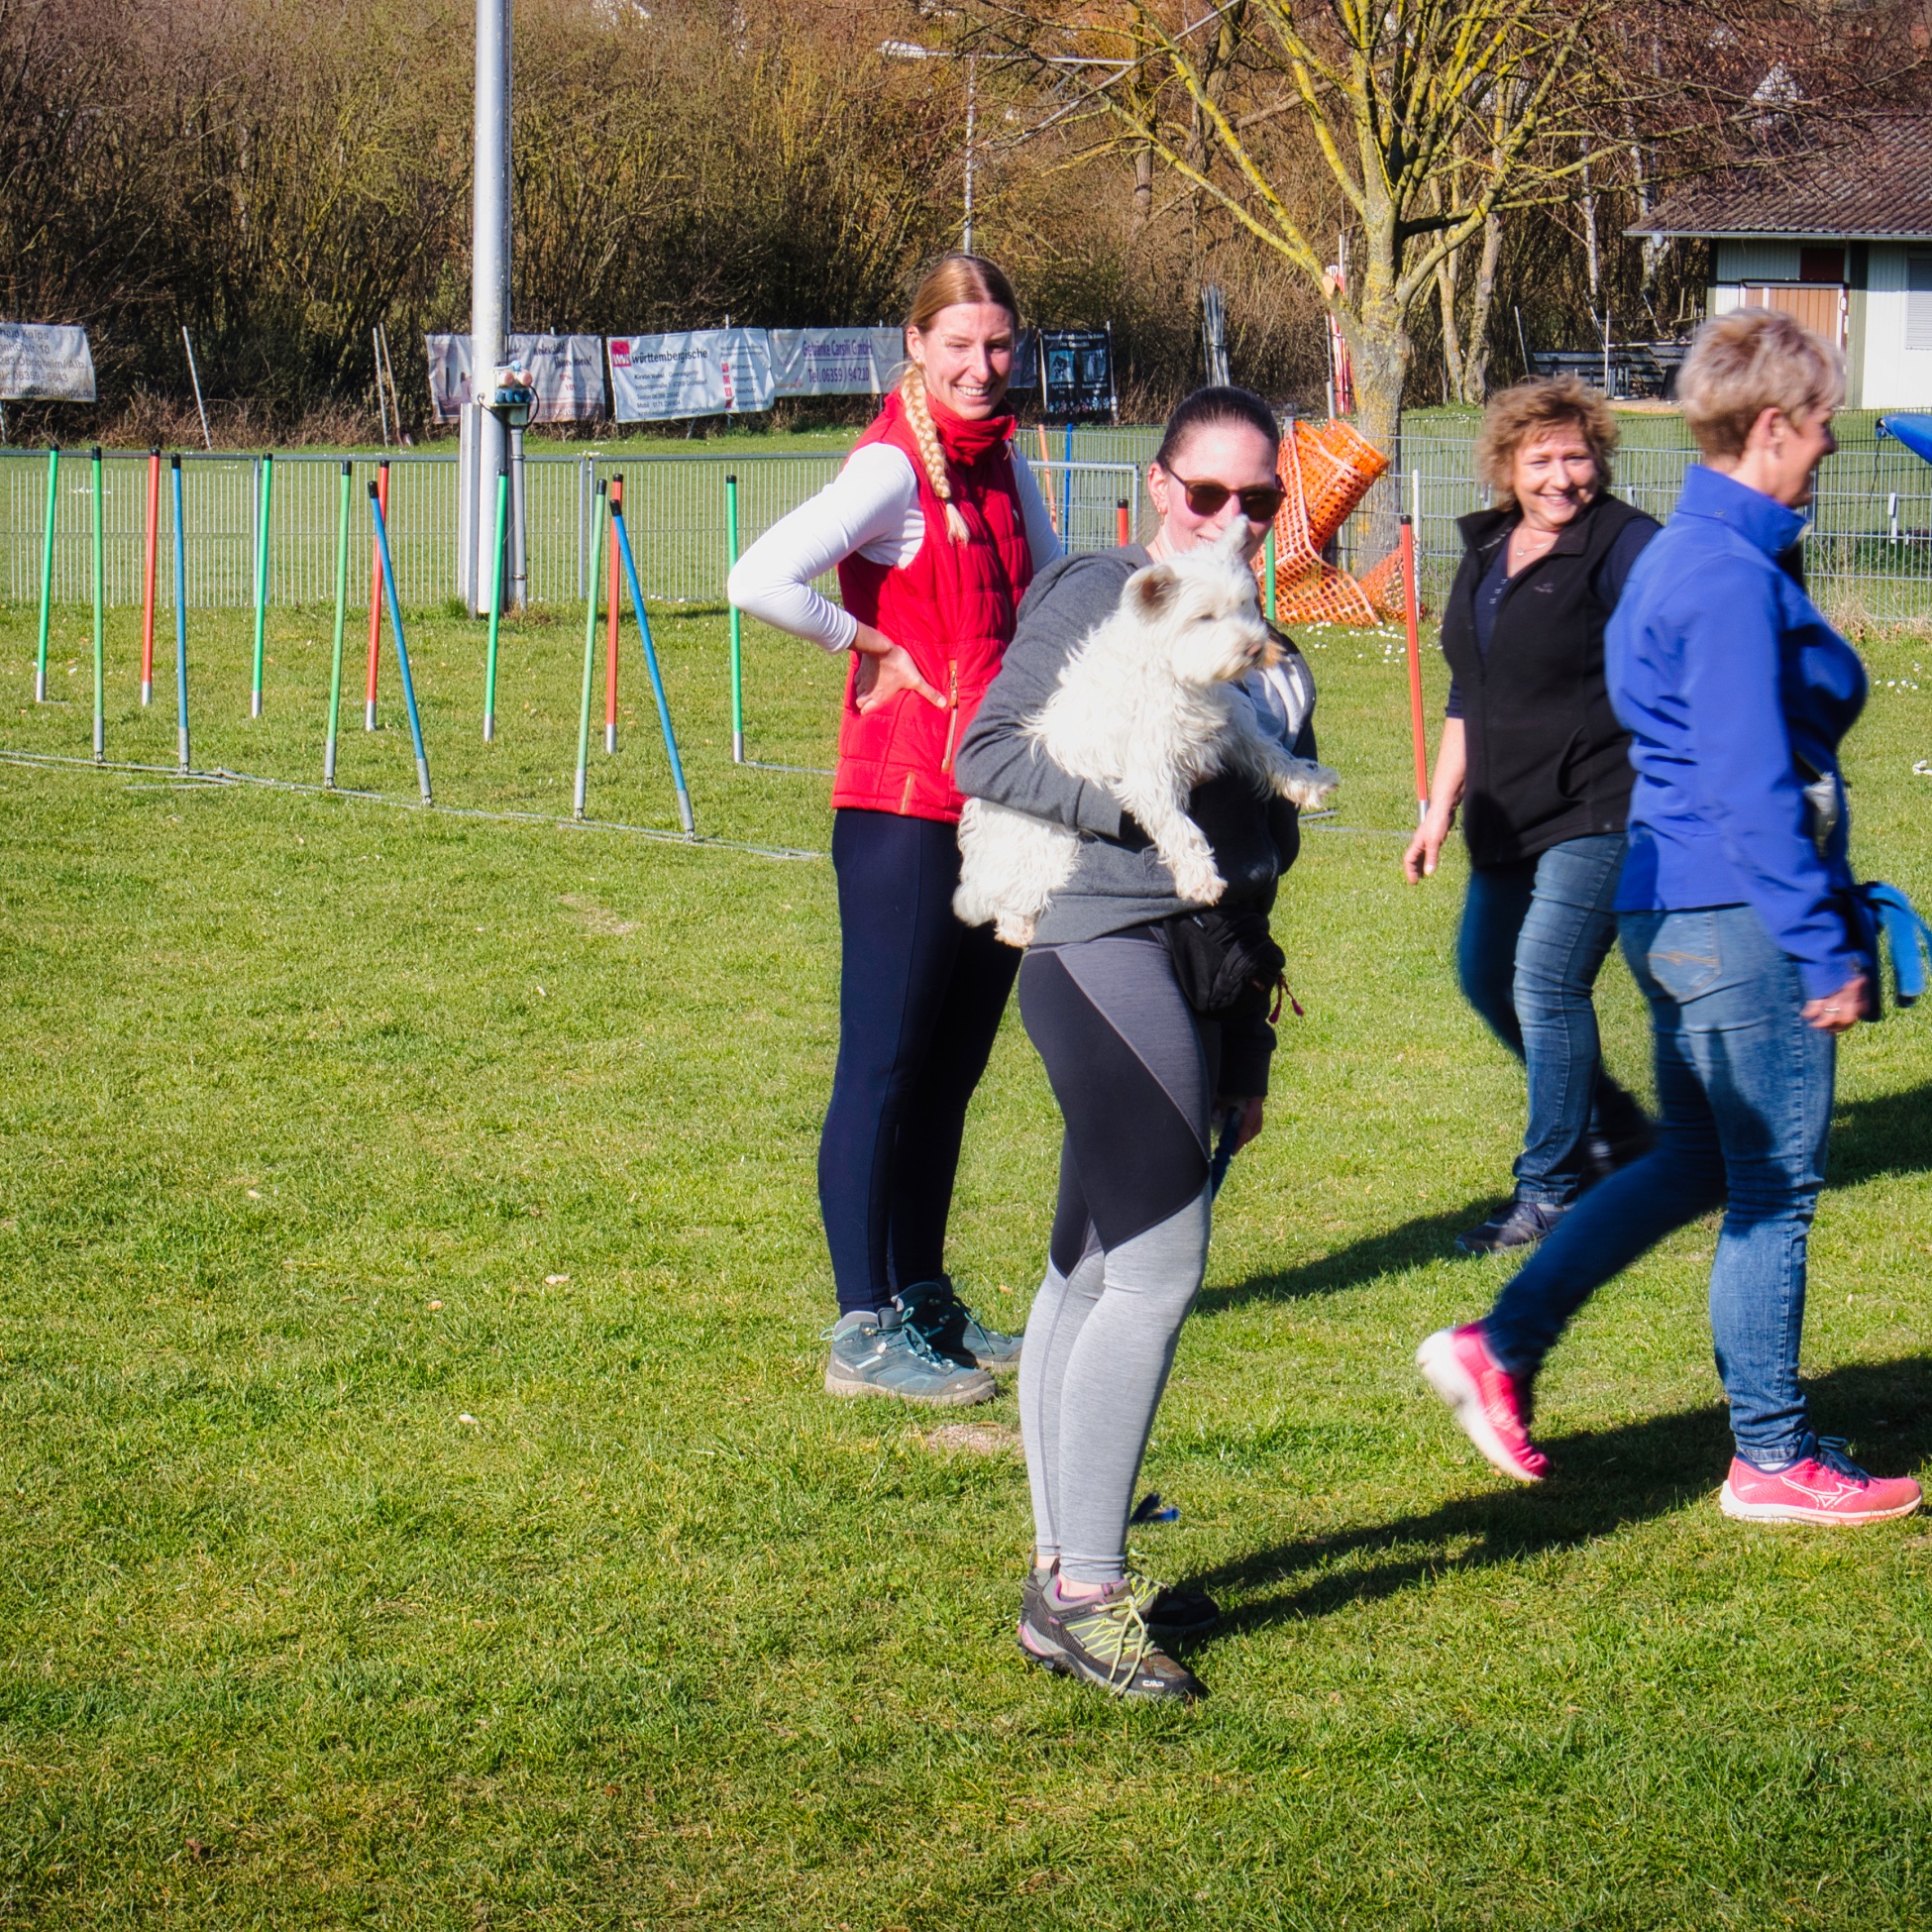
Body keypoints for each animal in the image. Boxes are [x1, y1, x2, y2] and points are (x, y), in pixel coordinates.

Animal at [954, 524, 1340, 948]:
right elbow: (1179, 826)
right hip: (1043, 847)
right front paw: (1200, 878)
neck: (1176, 671)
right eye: (1205, 617)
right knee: (1010, 900)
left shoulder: (1230, 724)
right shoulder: (1150, 770)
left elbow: (1270, 752)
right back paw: (1019, 928)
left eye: (1244, 605)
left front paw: (1308, 780)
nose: (1255, 648)